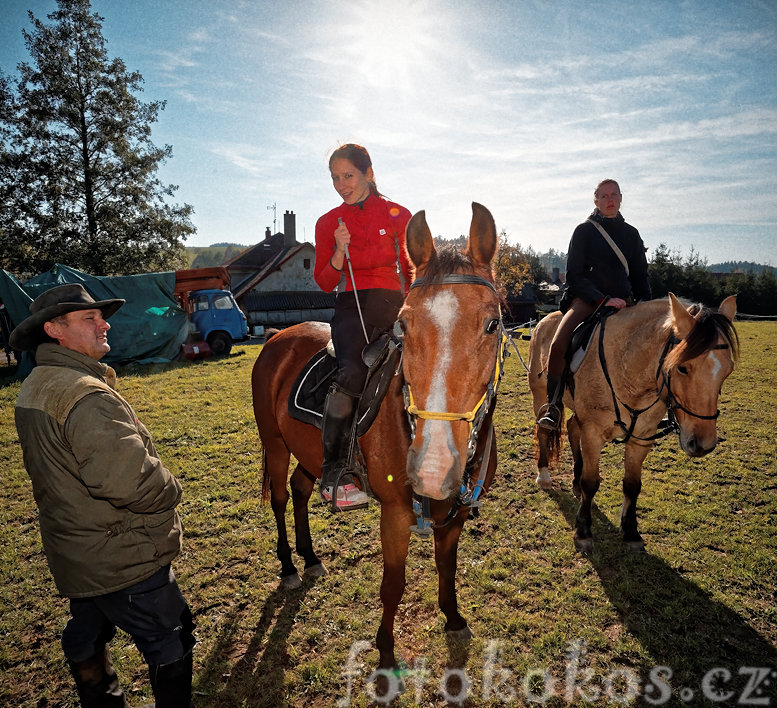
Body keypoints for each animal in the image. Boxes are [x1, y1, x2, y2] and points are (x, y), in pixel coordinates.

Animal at [252, 203, 500, 668]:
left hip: (308, 453)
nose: (433, 468)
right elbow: (392, 586)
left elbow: (446, 567)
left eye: (492, 324)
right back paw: (289, 567)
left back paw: (310, 557)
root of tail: (279, 336)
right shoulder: (396, 514)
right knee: (279, 497)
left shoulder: (454, 514)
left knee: (300, 488)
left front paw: (453, 618)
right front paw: (385, 652)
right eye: (404, 325)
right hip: (274, 444)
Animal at [528, 294, 740, 552]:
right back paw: (544, 476)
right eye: (682, 368)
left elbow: (632, 484)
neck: (628, 366)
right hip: (541, 395)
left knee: (571, 427)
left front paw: (631, 532)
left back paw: (574, 482)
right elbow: (591, 482)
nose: (703, 444)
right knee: (543, 430)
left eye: (728, 370)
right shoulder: (593, 433)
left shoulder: (642, 437)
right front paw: (583, 532)